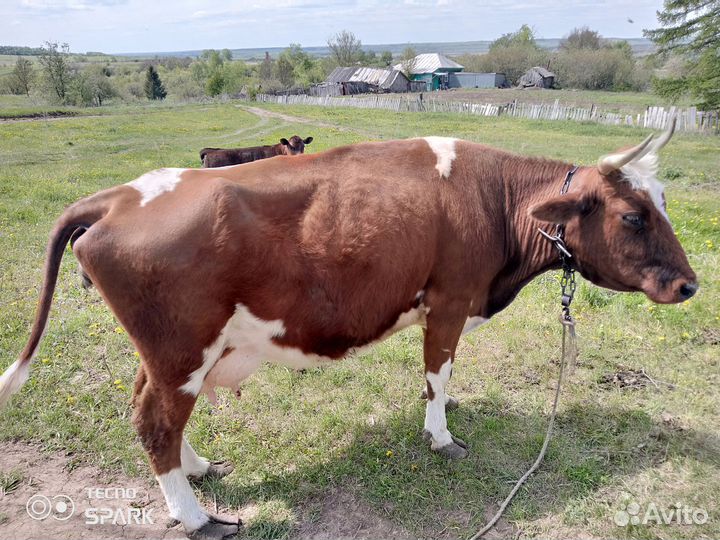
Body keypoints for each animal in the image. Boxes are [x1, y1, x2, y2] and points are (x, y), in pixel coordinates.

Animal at [0, 122, 696, 540]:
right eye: (633, 215)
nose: (690, 285)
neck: (495, 200)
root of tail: (118, 196)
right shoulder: (449, 303)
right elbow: (438, 375)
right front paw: (441, 436)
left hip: (169, 354)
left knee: (154, 412)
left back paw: (198, 470)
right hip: (182, 350)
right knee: (155, 423)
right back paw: (199, 518)